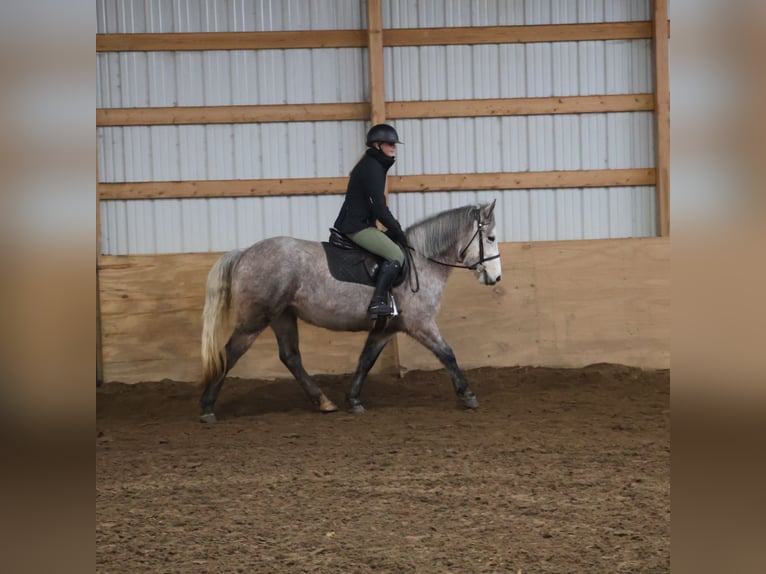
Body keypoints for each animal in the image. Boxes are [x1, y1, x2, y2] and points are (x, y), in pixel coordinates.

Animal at [198, 200, 502, 422]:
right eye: (490, 237)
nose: (496, 278)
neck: (422, 260)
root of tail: (244, 252)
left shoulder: (386, 329)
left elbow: (365, 360)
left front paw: (354, 400)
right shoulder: (421, 323)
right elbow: (447, 354)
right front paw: (468, 395)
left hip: (282, 316)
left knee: (290, 357)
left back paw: (323, 401)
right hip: (255, 319)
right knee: (229, 353)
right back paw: (207, 408)